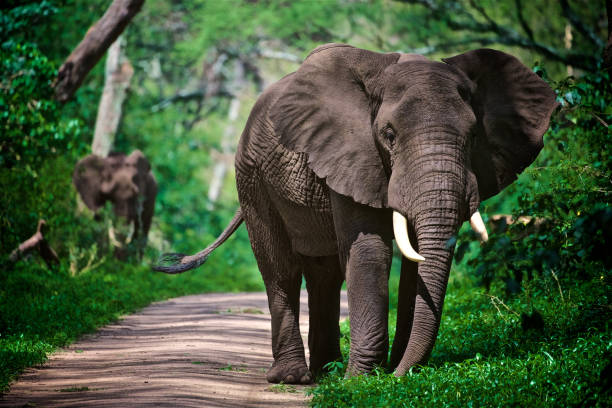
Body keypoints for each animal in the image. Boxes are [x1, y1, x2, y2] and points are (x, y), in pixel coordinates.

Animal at [154, 43, 560, 384]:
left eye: (474, 135)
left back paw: (326, 372)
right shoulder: (350, 153)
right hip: (251, 175)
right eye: (389, 135)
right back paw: (294, 378)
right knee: (280, 268)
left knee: (324, 273)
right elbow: (370, 251)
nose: (399, 375)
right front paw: (362, 382)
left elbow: (410, 261)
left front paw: (375, 375)